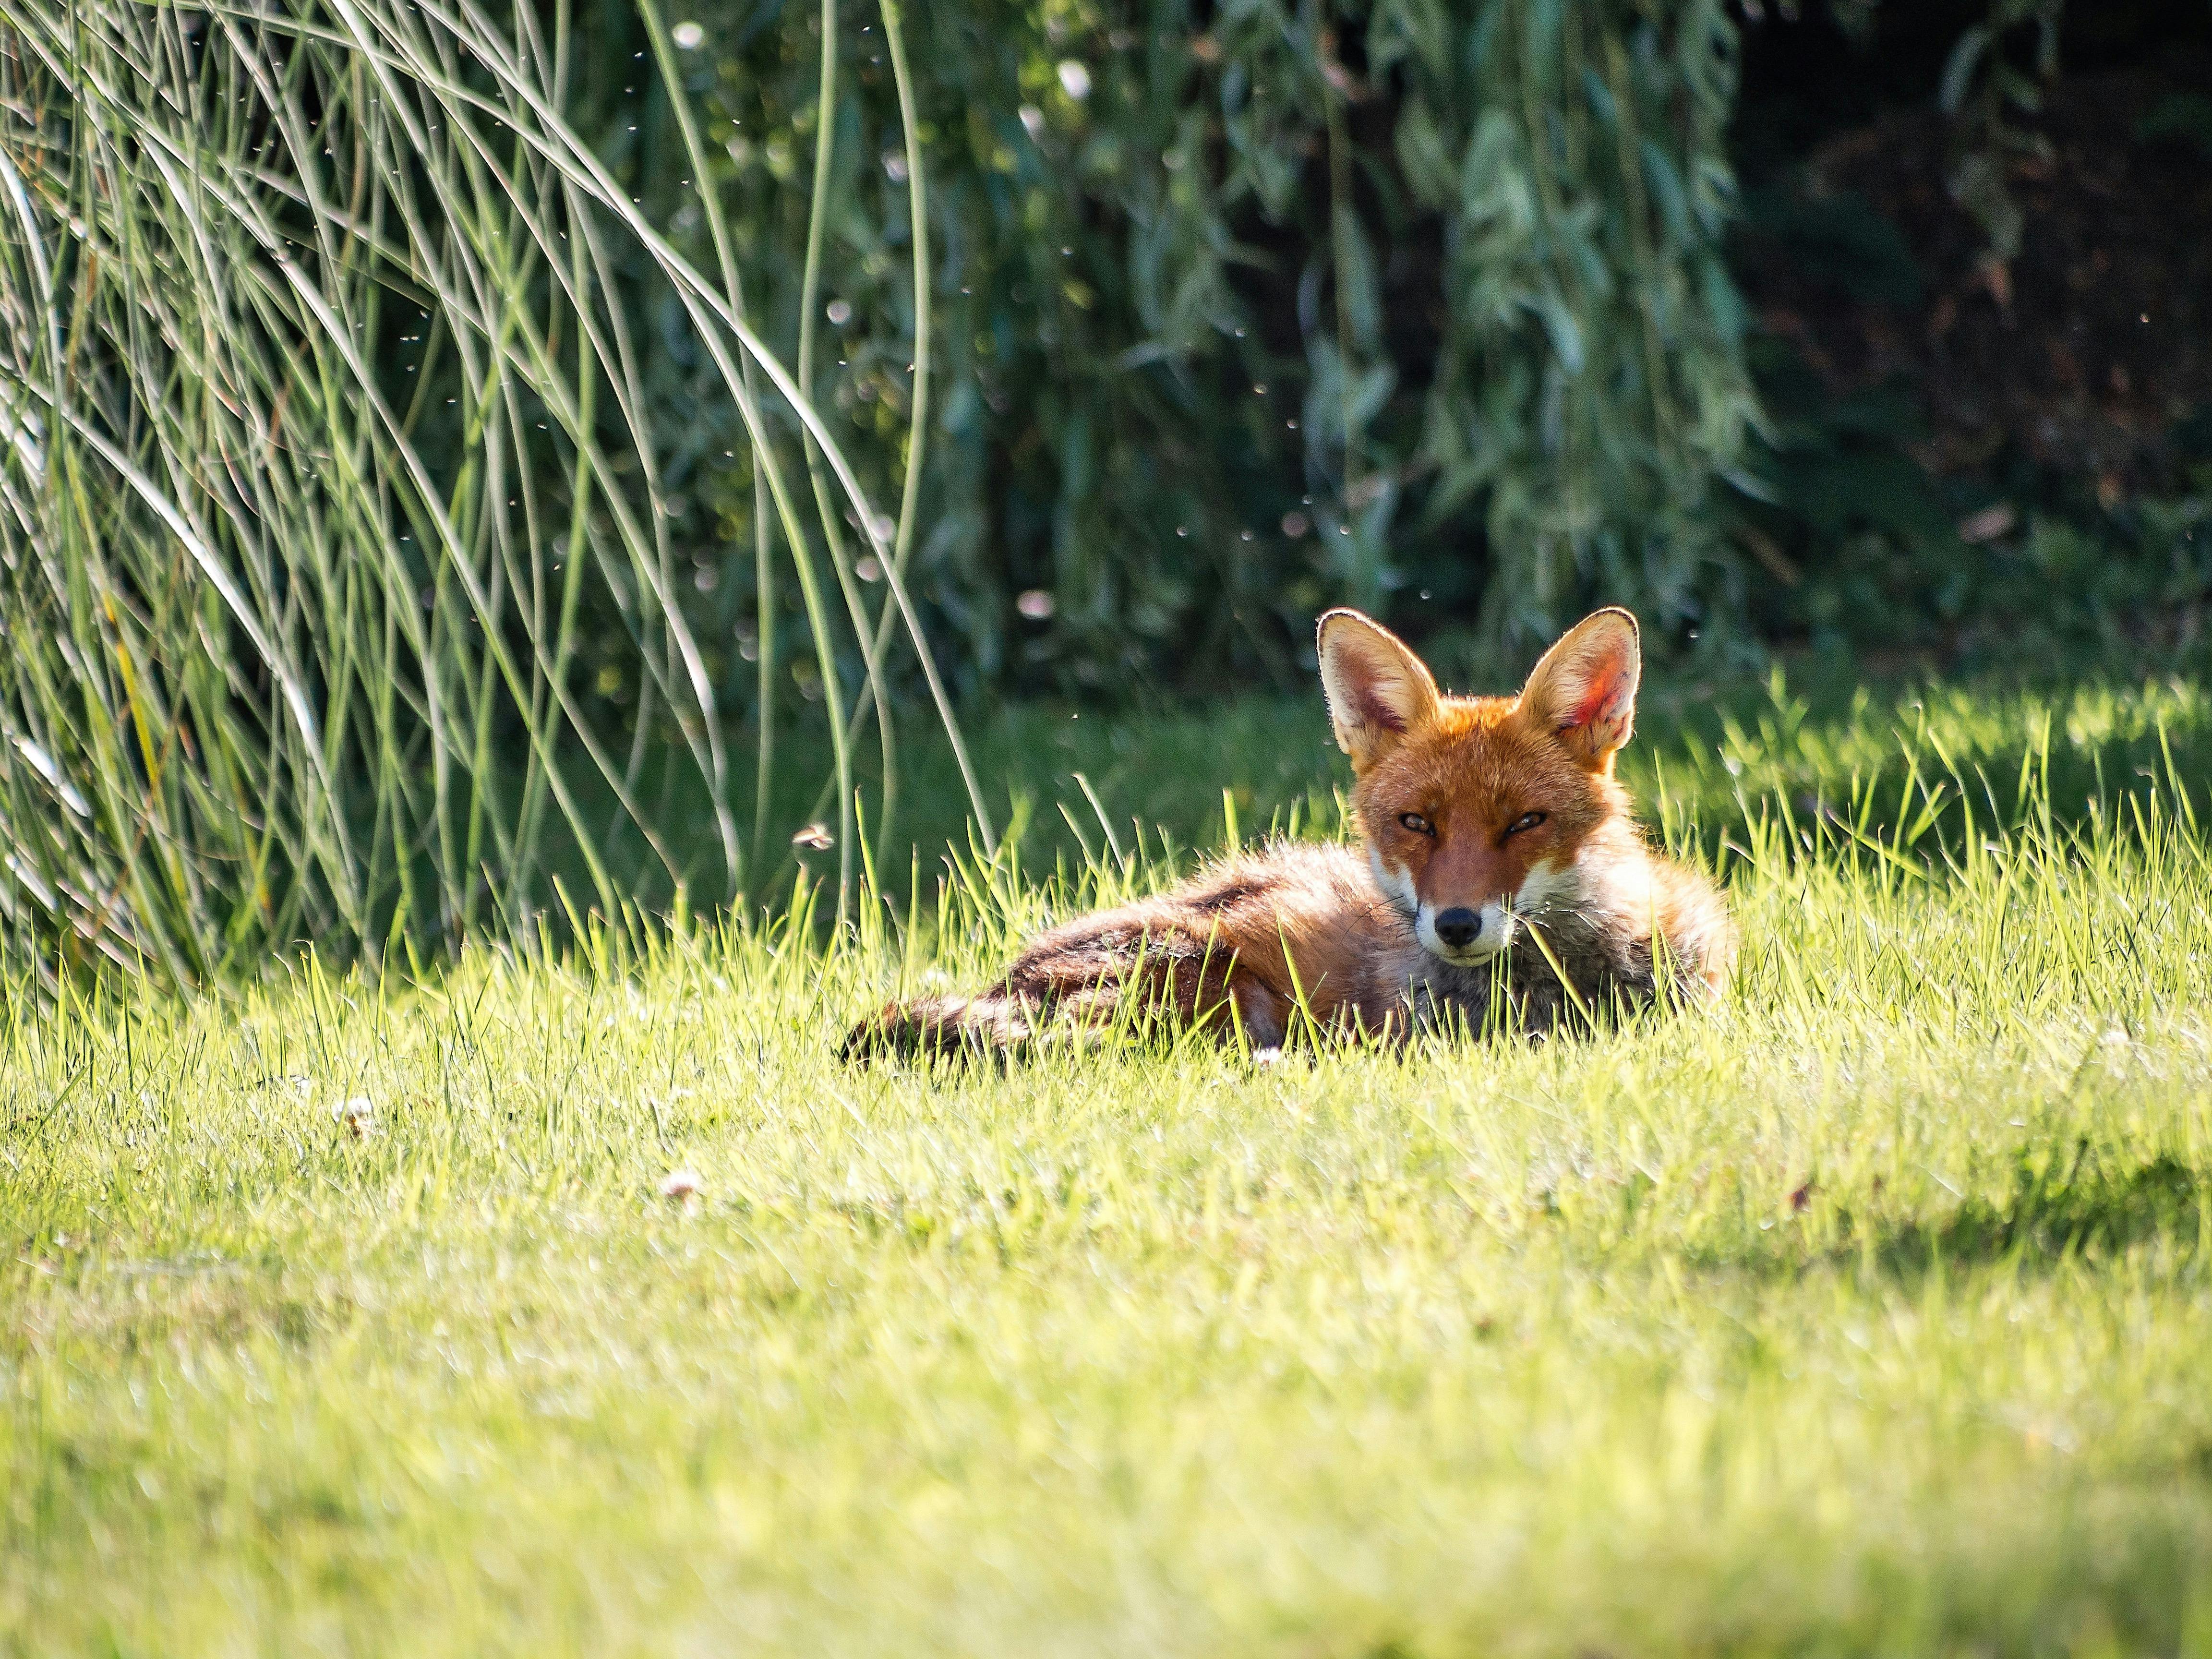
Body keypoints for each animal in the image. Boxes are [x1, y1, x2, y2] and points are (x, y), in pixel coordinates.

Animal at [841, 610, 1725, 1066]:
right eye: (1416, 824)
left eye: (1524, 823)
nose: (1456, 925)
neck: (1563, 988)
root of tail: (1006, 976)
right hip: (1214, 980)